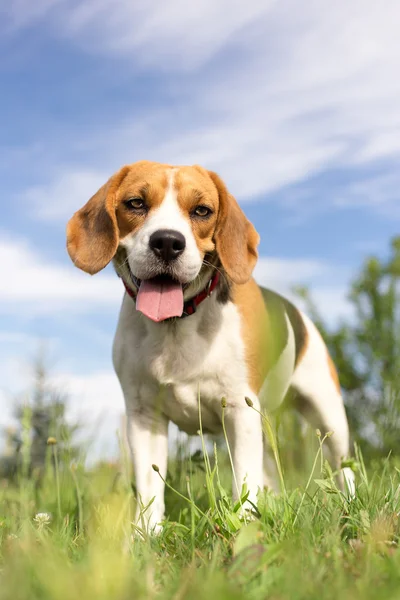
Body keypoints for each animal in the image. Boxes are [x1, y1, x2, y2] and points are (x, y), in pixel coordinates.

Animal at [67, 159, 354, 528]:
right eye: (136, 203)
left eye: (202, 210)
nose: (167, 242)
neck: (176, 325)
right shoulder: (144, 415)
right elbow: (149, 489)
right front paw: (146, 536)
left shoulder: (239, 410)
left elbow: (244, 482)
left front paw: (244, 529)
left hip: (328, 416)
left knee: (343, 468)